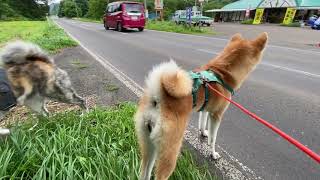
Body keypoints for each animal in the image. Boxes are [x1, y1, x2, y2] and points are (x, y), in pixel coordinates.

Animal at [134, 32, 268, 180]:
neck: (222, 73)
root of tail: (157, 98)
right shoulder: (217, 115)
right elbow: (213, 139)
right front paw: (213, 153)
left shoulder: (205, 109)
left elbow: (203, 124)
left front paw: (203, 133)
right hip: (170, 151)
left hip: (148, 146)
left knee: (144, 172)